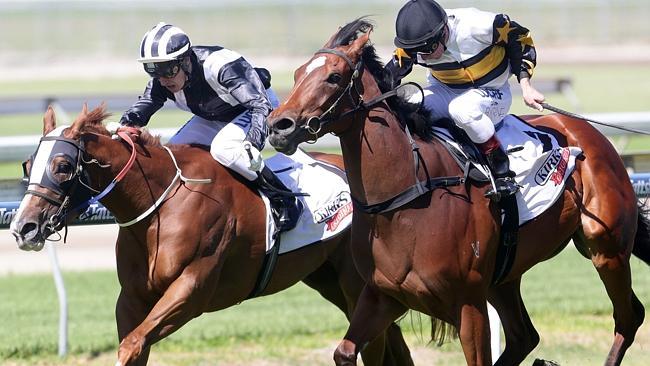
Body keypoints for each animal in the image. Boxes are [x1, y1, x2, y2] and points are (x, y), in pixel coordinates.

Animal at [7, 104, 412, 364]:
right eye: (27, 165)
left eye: (62, 166)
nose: (22, 227)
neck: (161, 206)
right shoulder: (133, 298)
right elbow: (134, 345)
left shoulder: (192, 290)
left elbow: (132, 345)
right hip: (329, 280)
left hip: (354, 281)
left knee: (374, 346)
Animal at [264, 20, 648, 366]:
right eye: (297, 74)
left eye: (333, 77)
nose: (278, 125)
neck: (407, 199)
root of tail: (586, 131)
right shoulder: (381, 295)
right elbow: (345, 352)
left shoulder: (468, 305)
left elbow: (513, 34)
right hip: (504, 277)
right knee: (525, 336)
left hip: (605, 248)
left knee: (628, 317)